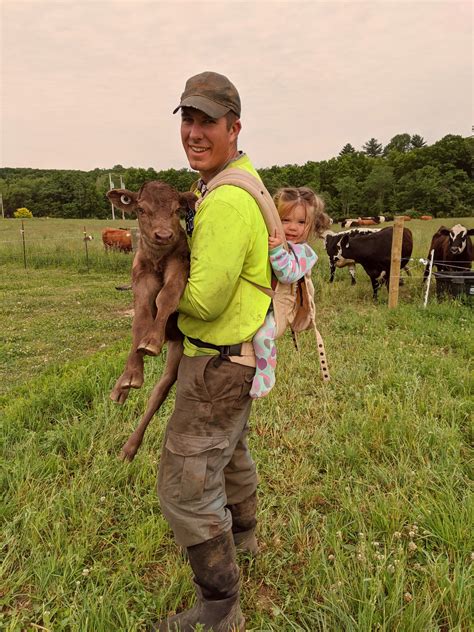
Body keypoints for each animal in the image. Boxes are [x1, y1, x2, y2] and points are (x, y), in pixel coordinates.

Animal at [106, 181, 195, 460]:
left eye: (177, 209)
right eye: (141, 209)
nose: (164, 235)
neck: (158, 260)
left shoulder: (180, 266)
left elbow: (166, 297)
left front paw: (152, 342)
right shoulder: (140, 278)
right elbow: (141, 320)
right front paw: (131, 374)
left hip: (179, 348)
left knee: (160, 390)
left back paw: (130, 447)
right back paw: (120, 389)